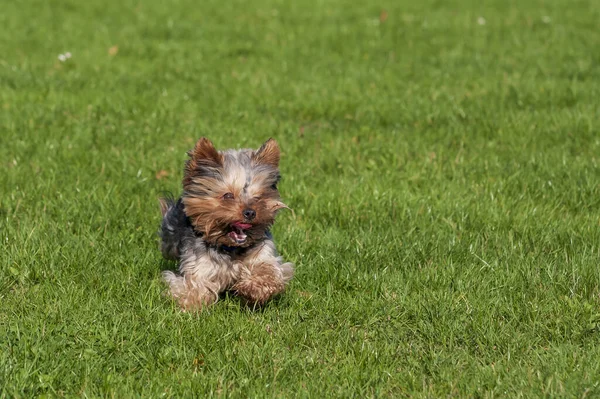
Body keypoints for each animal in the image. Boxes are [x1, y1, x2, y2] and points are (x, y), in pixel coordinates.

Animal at [158, 139, 292, 310]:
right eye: (228, 196)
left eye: (258, 197)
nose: (250, 212)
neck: (231, 248)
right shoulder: (199, 266)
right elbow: (193, 286)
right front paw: (190, 307)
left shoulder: (263, 254)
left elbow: (269, 271)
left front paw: (254, 289)